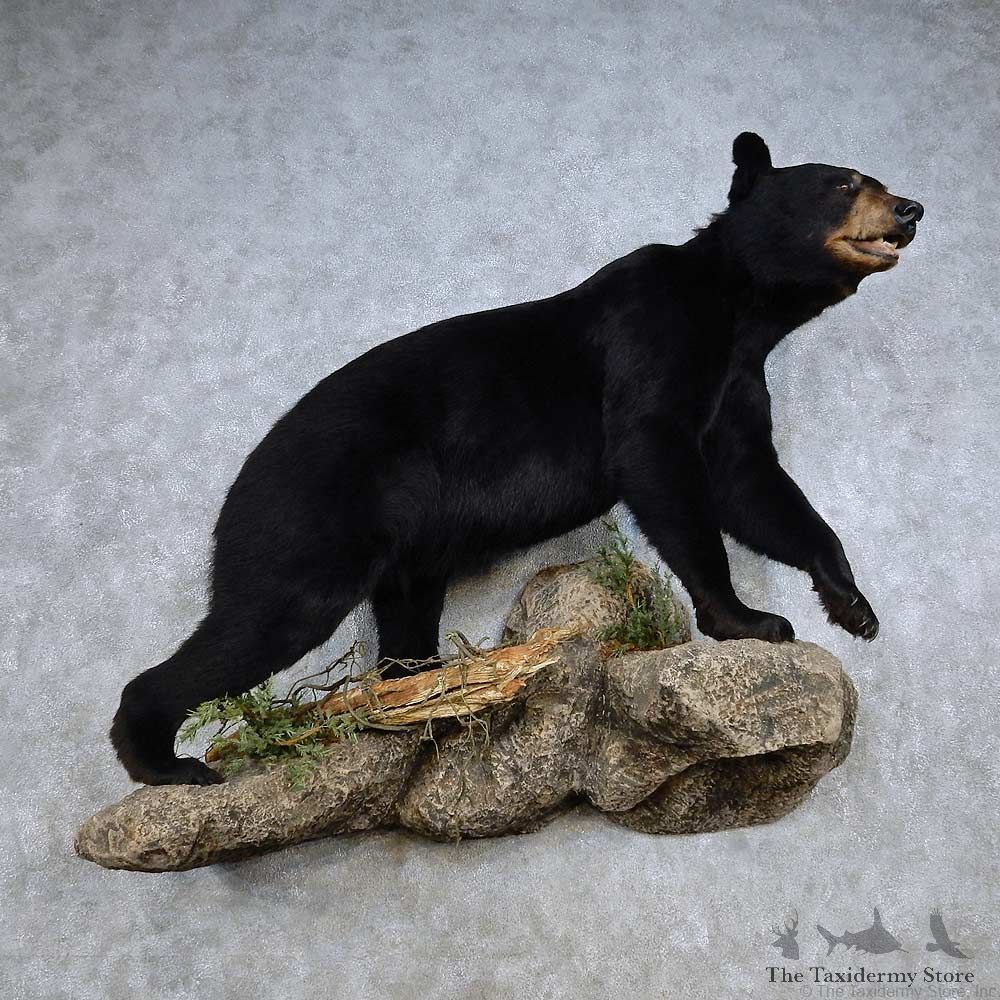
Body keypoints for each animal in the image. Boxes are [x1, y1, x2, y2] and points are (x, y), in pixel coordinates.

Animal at [111, 132, 923, 785]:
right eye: (843, 182)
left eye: (871, 177)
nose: (911, 207)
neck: (739, 309)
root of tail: (235, 490)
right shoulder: (655, 339)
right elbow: (657, 460)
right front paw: (748, 619)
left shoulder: (737, 384)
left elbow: (752, 484)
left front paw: (849, 602)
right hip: (309, 514)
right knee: (265, 619)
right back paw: (163, 761)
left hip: (406, 554)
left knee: (397, 622)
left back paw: (417, 691)